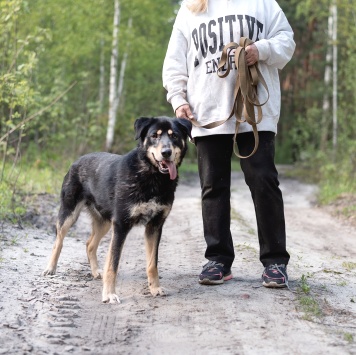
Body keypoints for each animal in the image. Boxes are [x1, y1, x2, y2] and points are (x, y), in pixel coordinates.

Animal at [42, 116, 192, 304]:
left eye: (175, 136)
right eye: (154, 136)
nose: (166, 152)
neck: (152, 177)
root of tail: (77, 161)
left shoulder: (154, 226)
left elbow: (152, 264)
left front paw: (155, 289)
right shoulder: (121, 225)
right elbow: (113, 264)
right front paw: (109, 294)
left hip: (104, 222)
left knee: (90, 244)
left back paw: (95, 272)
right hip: (69, 213)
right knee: (59, 241)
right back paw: (50, 268)